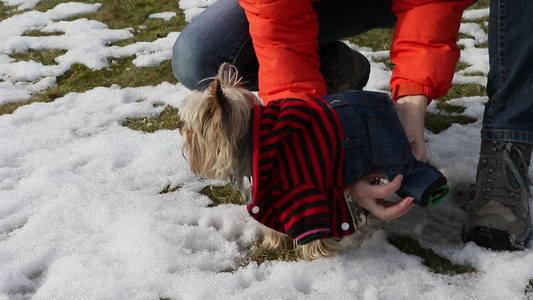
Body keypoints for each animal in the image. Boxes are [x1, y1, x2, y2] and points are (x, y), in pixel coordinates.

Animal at [179, 63, 342, 260]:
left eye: (190, 128)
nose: (179, 126)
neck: (255, 136)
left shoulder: (304, 185)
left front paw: (315, 254)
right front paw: (274, 243)